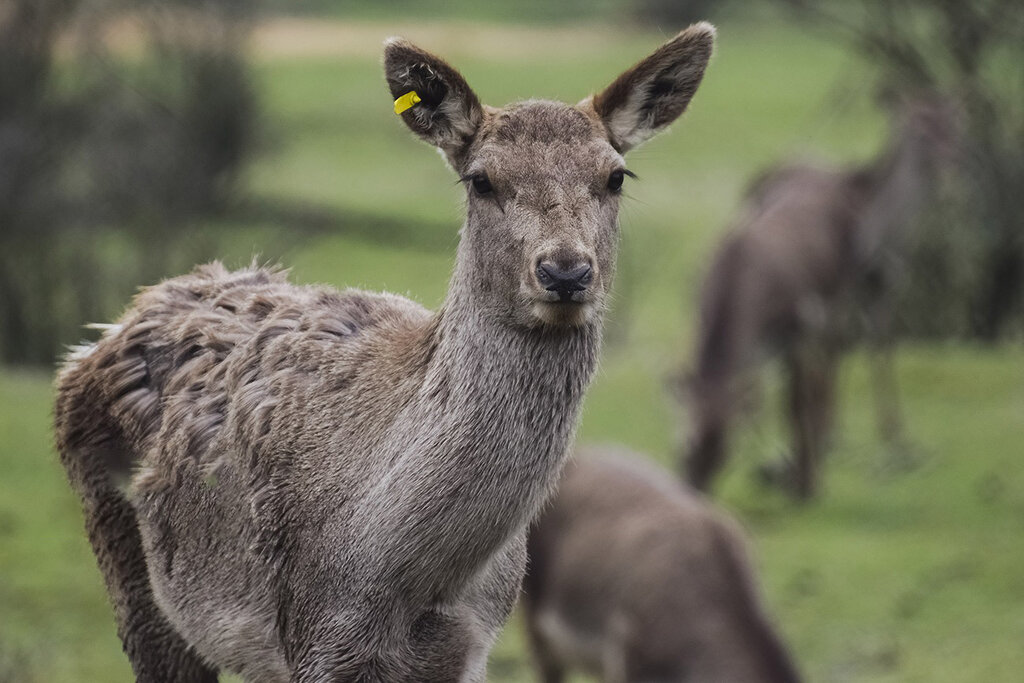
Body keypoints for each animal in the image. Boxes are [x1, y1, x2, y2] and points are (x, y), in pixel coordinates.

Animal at [51, 26, 716, 683]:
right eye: (481, 179)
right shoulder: (314, 642)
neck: (403, 584)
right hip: (128, 561)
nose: (565, 272)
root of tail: (107, 330)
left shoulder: (472, 648)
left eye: (616, 176)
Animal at [679, 93, 958, 499]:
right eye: (682, 448)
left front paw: (809, 475)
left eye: (956, 124)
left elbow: (849, 362)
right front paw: (801, 460)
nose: (952, 161)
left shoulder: (869, 290)